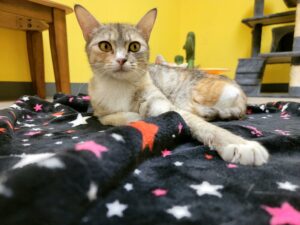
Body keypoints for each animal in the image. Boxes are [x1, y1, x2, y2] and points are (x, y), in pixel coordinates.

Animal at [73, 4, 270, 165]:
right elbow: (113, 117)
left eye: (134, 46)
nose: (122, 60)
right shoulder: (100, 111)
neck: (120, 86)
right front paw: (136, 117)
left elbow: (204, 126)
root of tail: (242, 98)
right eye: (105, 46)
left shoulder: (169, 107)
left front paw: (238, 144)